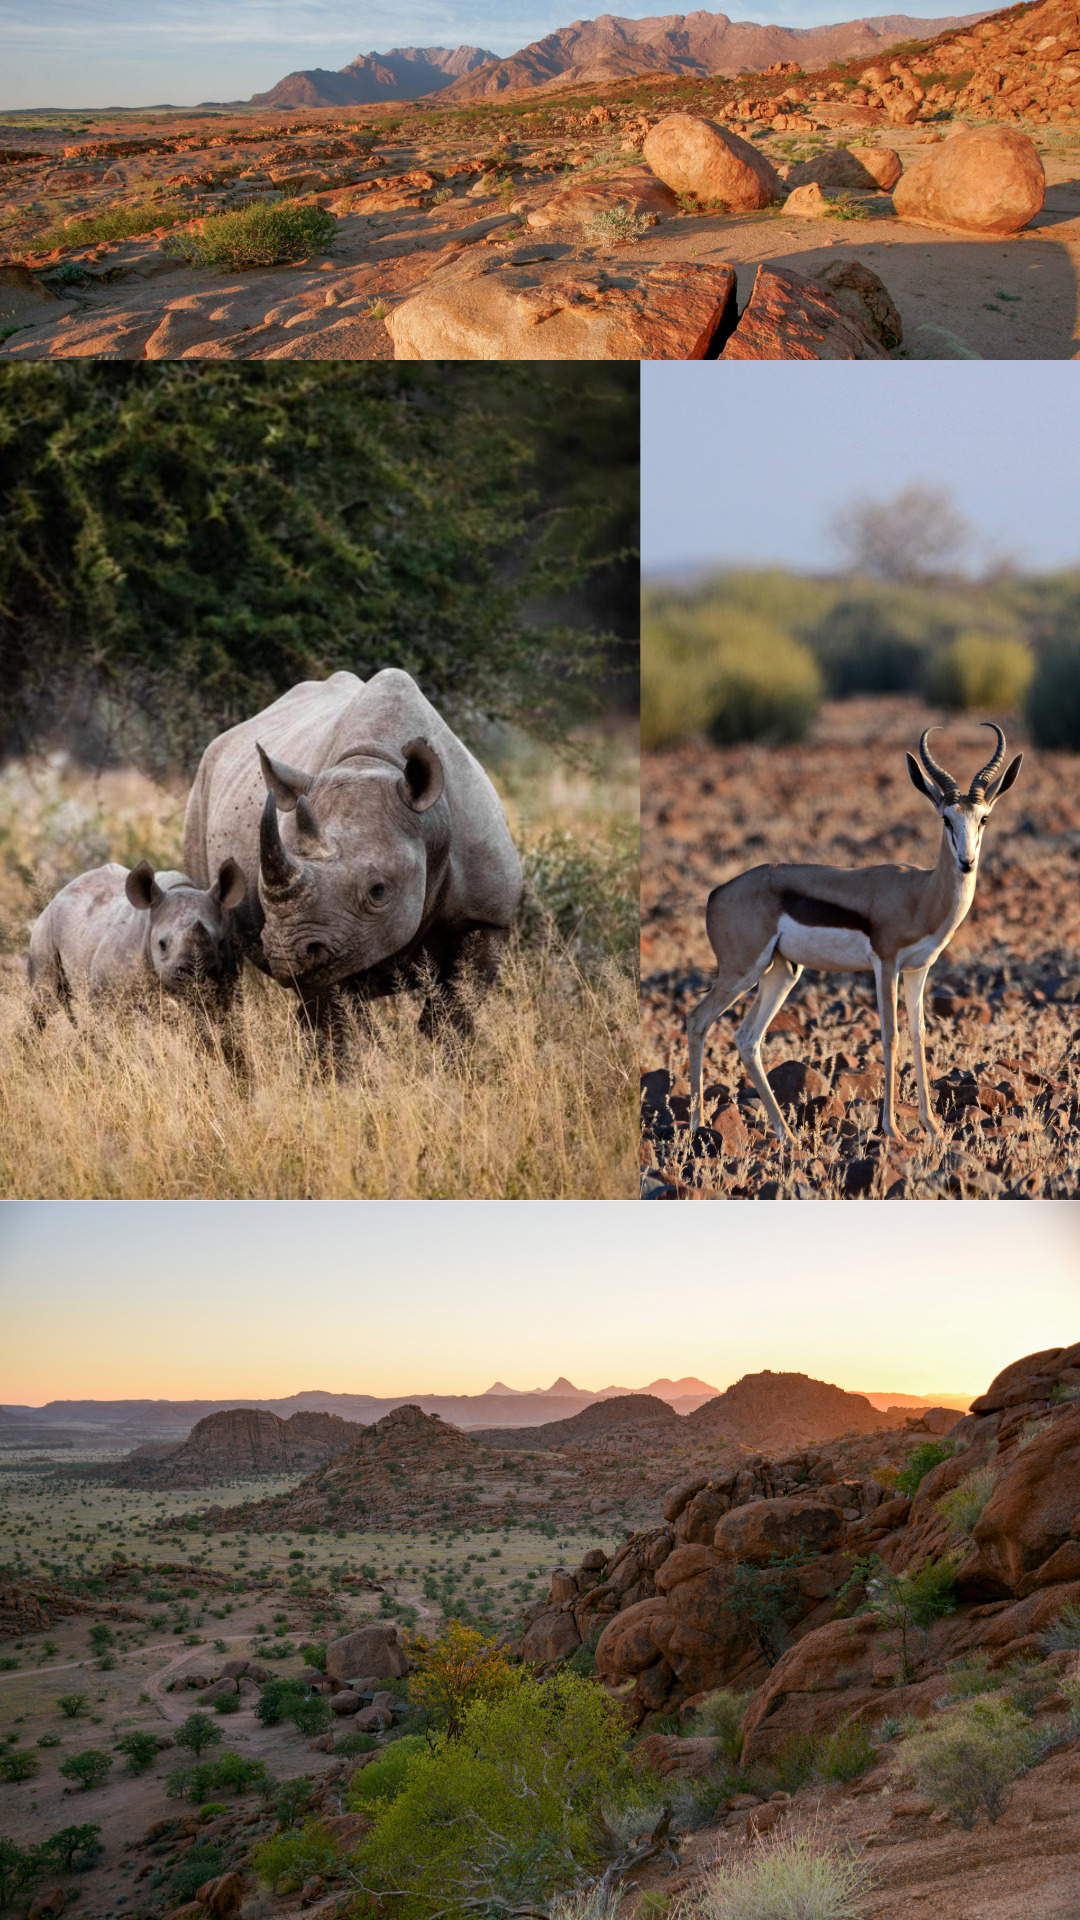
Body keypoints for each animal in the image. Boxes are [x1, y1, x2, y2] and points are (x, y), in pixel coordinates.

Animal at [28, 859, 247, 1027]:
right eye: (161, 944)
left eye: (221, 942)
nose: (195, 976)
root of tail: (60, 893)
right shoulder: (106, 993)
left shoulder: (227, 985)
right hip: (44, 929)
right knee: (43, 1000)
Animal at [181, 669, 523, 1037]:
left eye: (378, 890)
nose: (288, 953)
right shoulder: (330, 936)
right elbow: (339, 1022)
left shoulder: (486, 917)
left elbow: (452, 1014)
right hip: (200, 792)